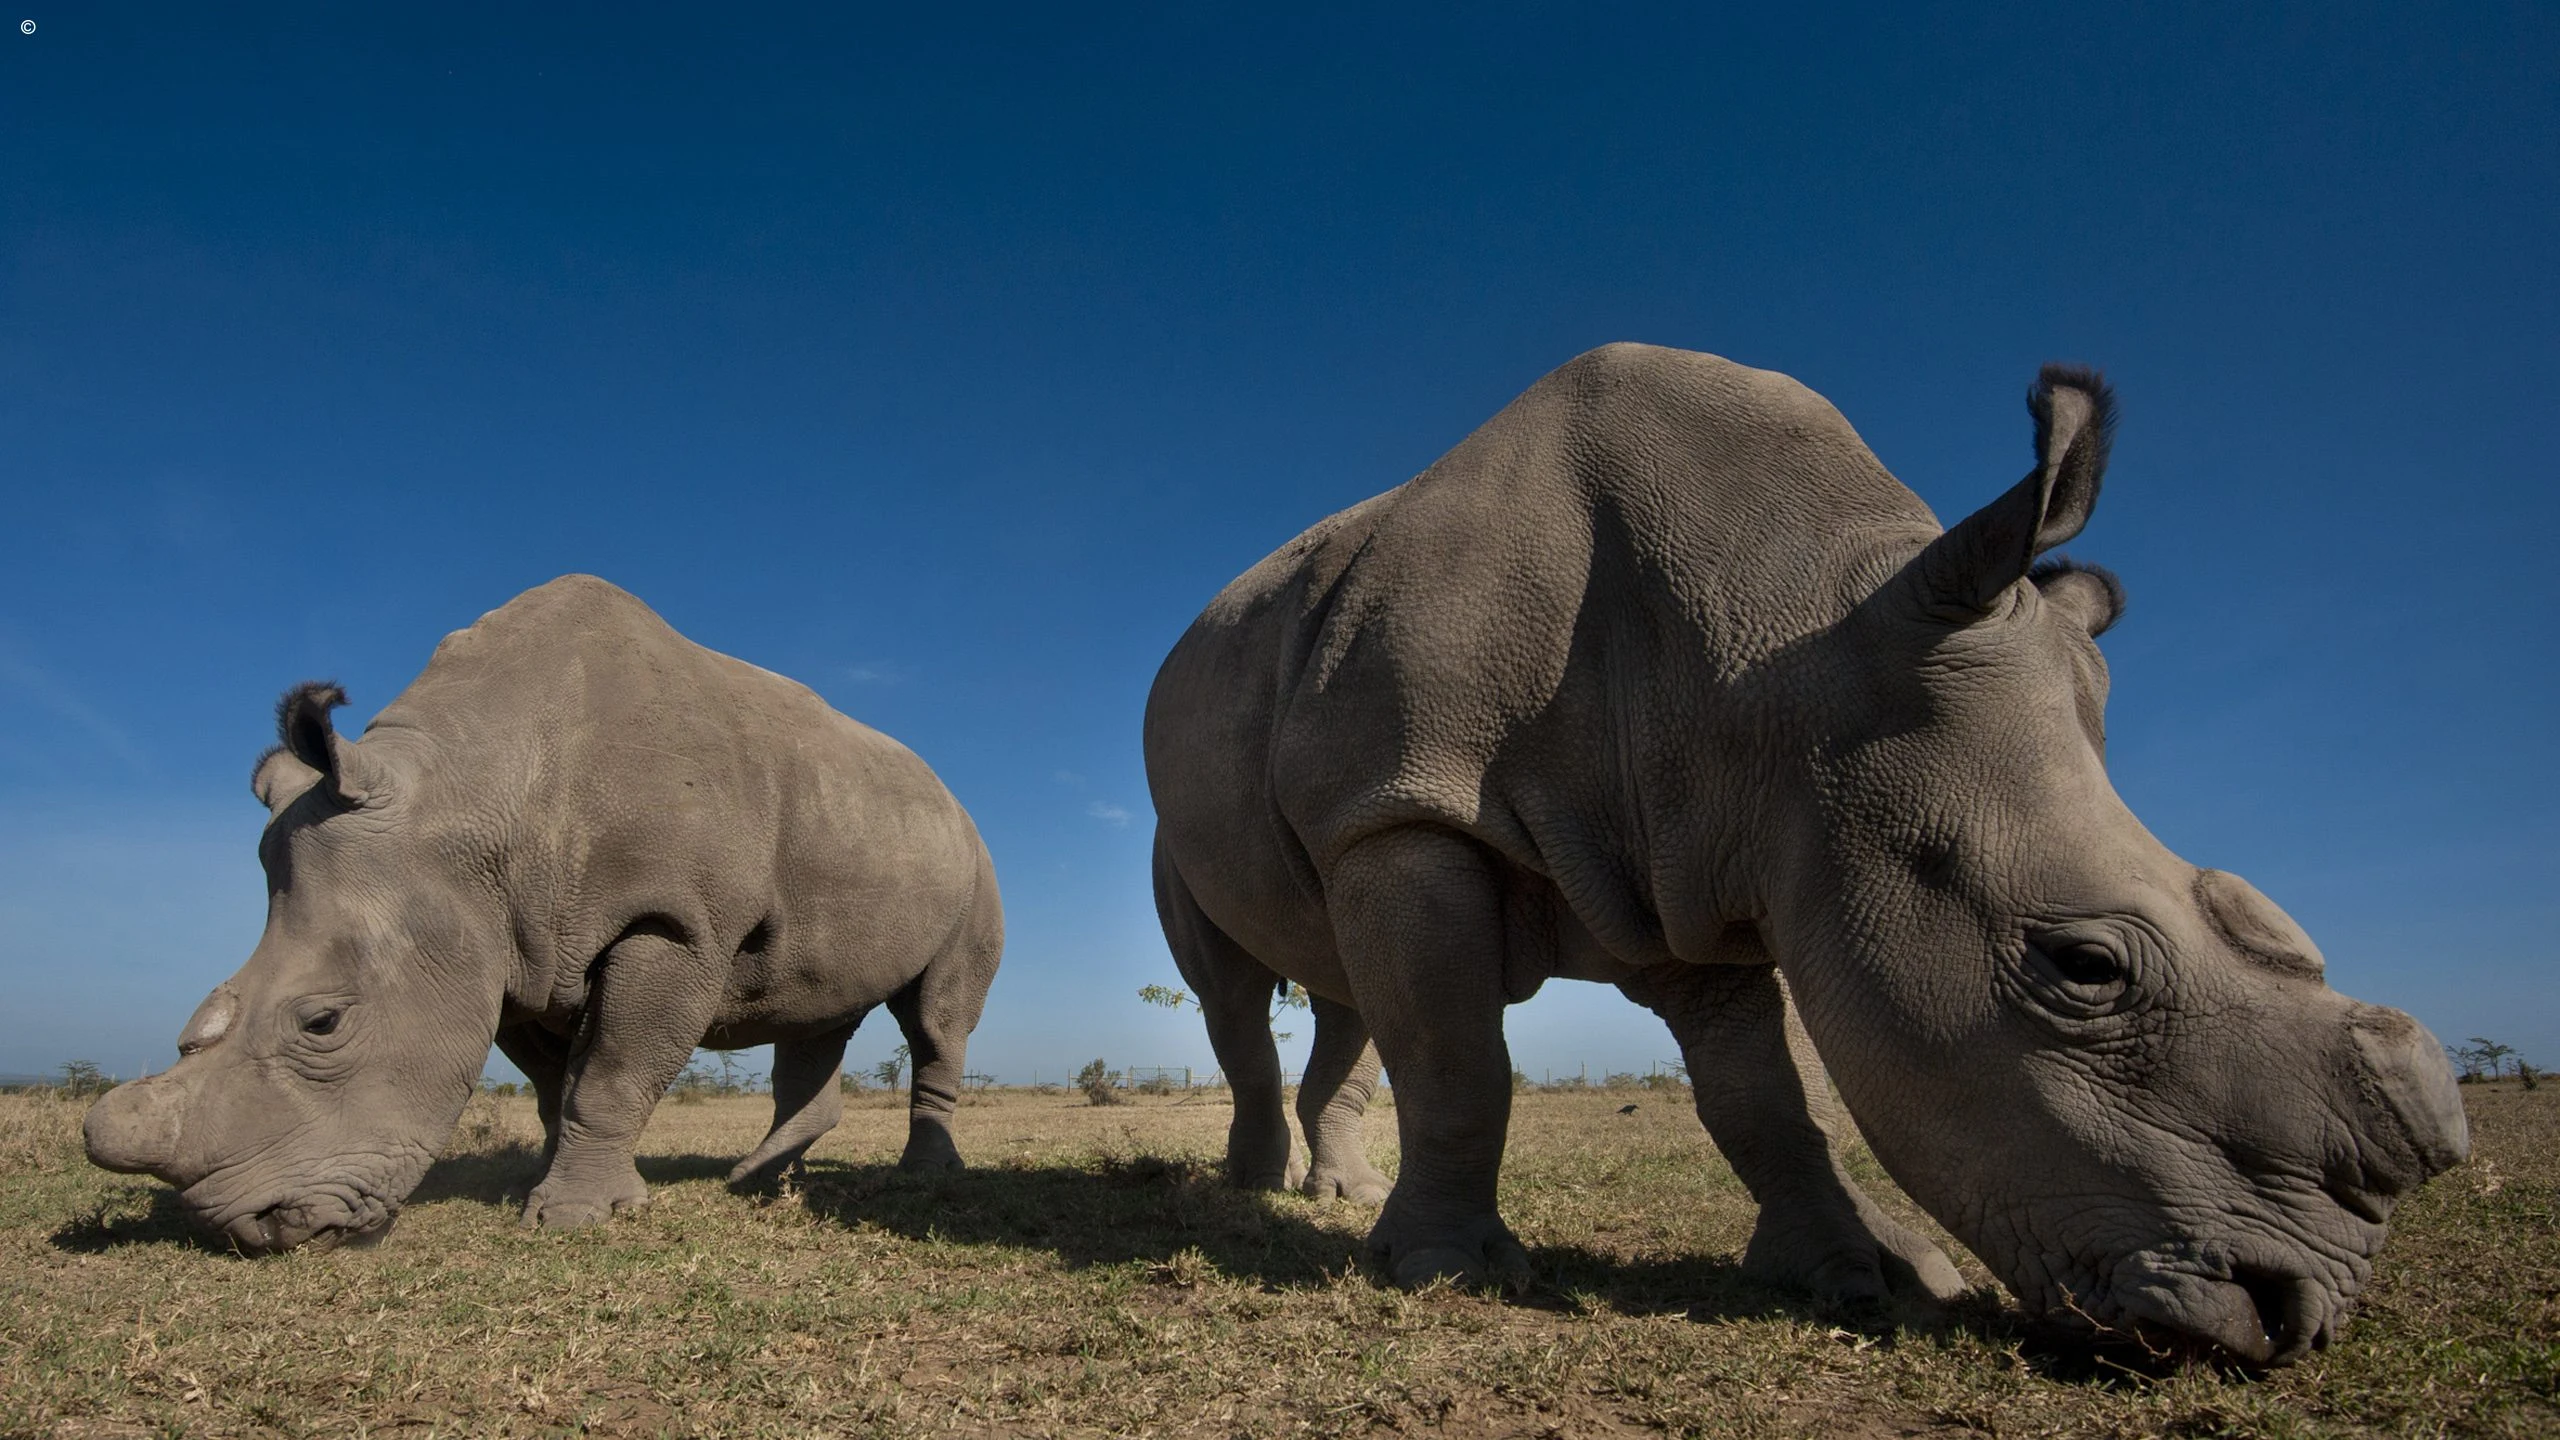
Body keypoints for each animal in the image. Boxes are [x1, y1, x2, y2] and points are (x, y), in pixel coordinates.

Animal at [84, 575, 1003, 1252]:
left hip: (973, 858)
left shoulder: (672, 923)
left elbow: (611, 1073)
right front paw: (561, 1188)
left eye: (324, 1023)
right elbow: (554, 1086)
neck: (473, 796)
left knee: (934, 1017)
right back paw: (760, 1183)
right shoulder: (507, 946)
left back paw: (917, 1177)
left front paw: (571, 1219)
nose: (250, 1229)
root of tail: (946, 791)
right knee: (813, 1012)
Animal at [1143, 344, 2467, 1364]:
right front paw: (1444, 1273)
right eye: (2084, 968)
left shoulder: (1705, 855)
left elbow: (1764, 1100)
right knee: (1240, 989)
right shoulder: (1407, 809)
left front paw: (1869, 1274)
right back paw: (1252, 1195)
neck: (1787, 639)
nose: (2296, 1317)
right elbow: (1461, 1062)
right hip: (1226, 812)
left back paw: (1336, 1196)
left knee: (1342, 988)